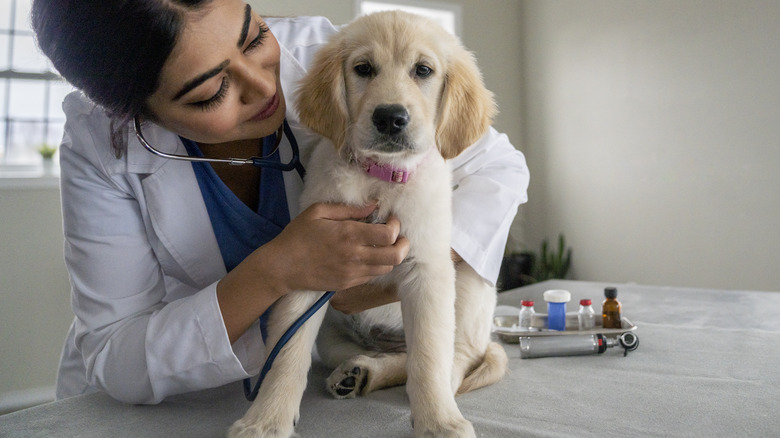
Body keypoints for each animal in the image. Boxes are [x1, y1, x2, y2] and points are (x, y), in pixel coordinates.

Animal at [227, 10, 506, 438]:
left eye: (423, 70)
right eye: (363, 69)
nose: (390, 117)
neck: (380, 178)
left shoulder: (428, 269)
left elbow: (429, 358)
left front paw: (437, 422)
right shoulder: (310, 263)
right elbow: (286, 354)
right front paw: (265, 421)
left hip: (472, 288)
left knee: (451, 360)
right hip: (333, 336)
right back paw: (358, 372)